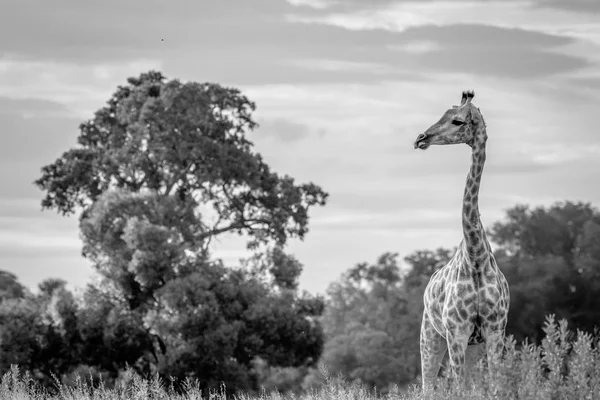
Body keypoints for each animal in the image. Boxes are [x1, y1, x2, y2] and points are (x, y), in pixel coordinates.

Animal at [412, 90, 510, 390]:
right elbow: (459, 386)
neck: (476, 256)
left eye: (457, 121)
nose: (421, 138)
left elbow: (495, 385)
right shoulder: (456, 332)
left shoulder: (494, 330)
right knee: (428, 385)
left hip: (472, 345)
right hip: (430, 336)